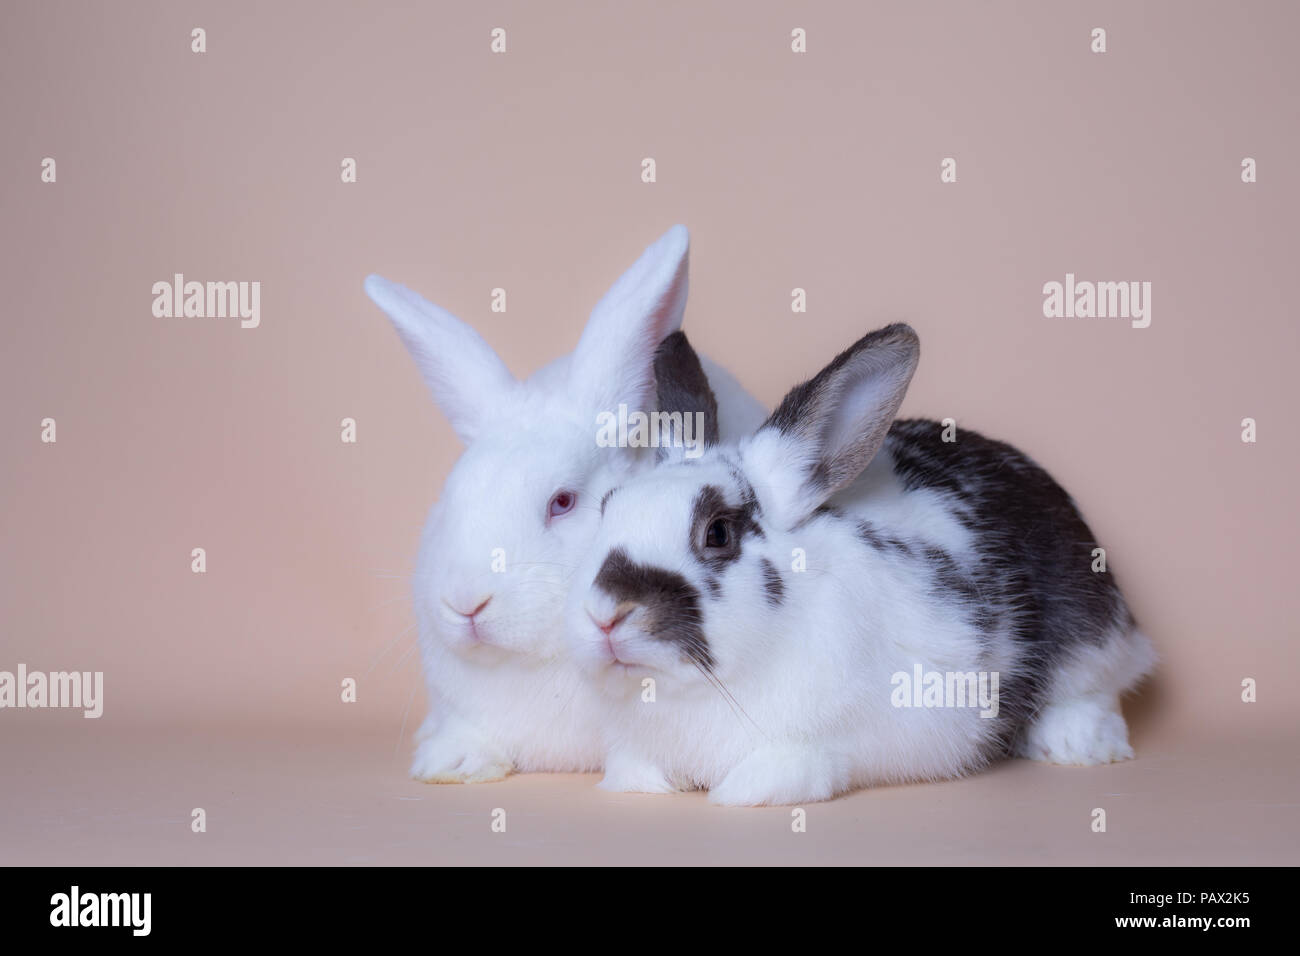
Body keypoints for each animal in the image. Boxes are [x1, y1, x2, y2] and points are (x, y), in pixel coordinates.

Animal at [565, 326, 1157, 805]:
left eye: (717, 533)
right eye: (607, 507)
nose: (607, 615)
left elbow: (795, 766)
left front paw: (748, 791)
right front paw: (639, 782)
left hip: (1090, 631)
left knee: (1098, 685)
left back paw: (1077, 745)